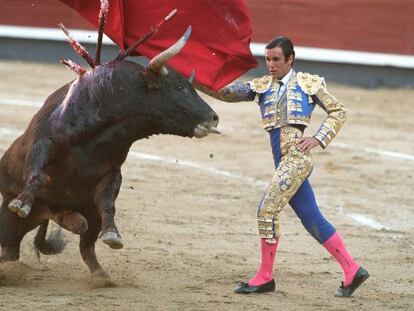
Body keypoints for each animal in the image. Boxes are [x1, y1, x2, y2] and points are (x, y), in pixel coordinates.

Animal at [0, 58, 218, 278]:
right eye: (180, 87)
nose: (214, 118)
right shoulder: (43, 143)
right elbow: (37, 175)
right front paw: (22, 203)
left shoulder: (112, 171)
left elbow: (107, 202)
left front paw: (113, 234)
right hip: (9, 219)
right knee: (10, 249)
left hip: (88, 216)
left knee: (85, 246)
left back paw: (100, 274)